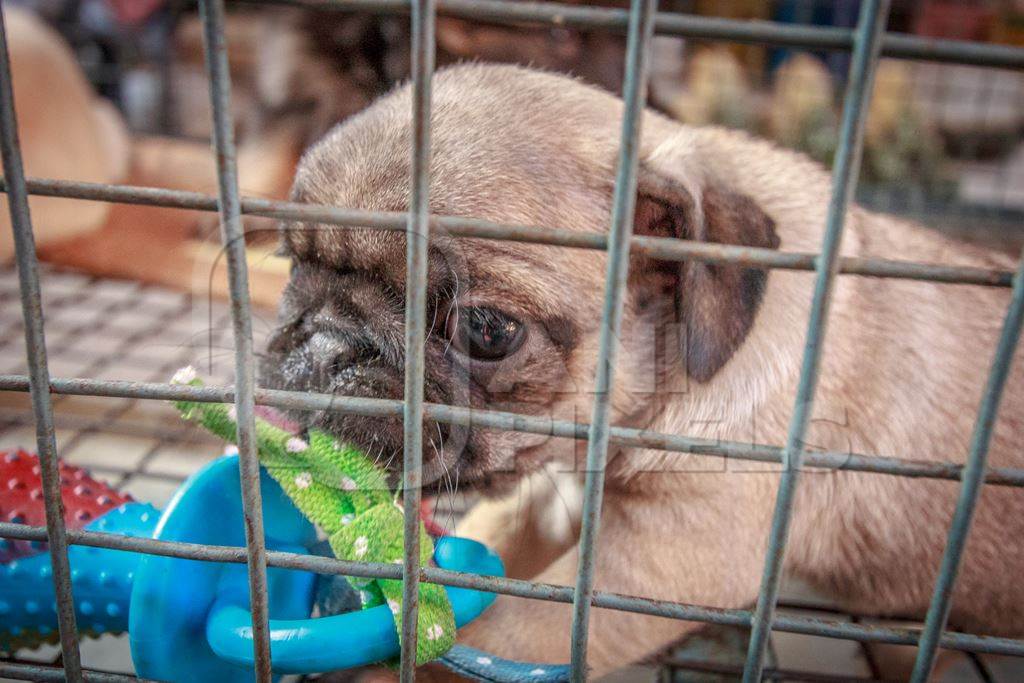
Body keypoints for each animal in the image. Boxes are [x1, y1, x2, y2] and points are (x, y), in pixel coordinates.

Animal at [264, 65, 1024, 679]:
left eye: (487, 329)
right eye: (293, 265)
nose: (327, 344)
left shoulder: (660, 558)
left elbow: (502, 632)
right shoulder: (553, 503)